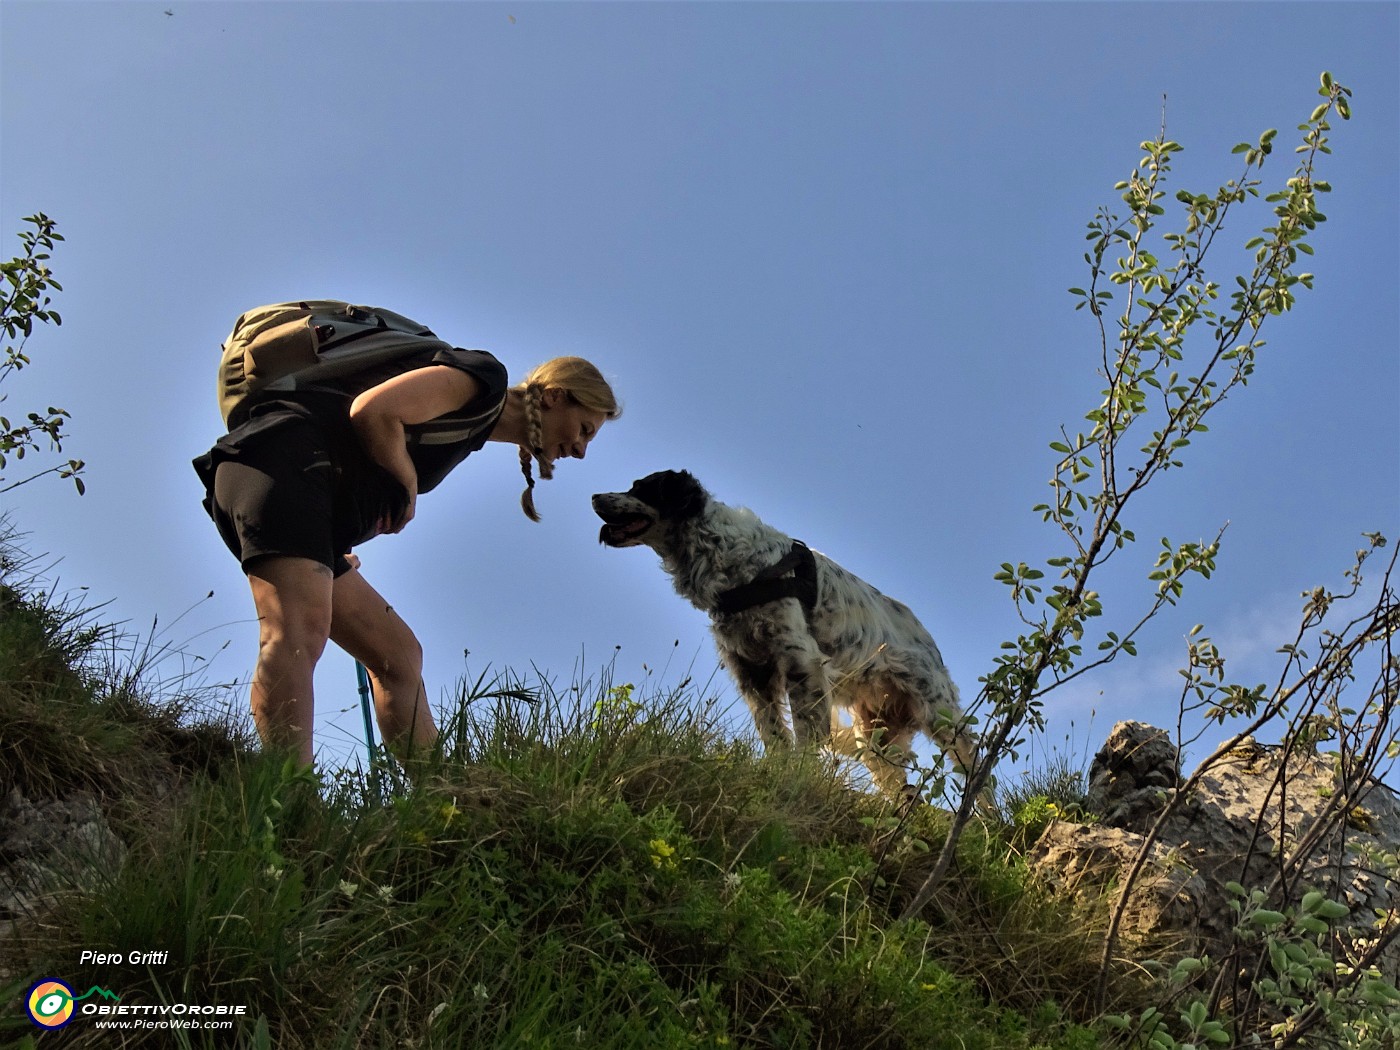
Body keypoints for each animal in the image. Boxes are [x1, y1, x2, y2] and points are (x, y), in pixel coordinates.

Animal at [590, 470, 974, 795]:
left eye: (641, 487)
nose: (593, 495)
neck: (725, 555)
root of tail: (929, 642)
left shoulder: (801, 660)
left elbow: (805, 735)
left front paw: (799, 776)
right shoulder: (752, 670)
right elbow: (773, 734)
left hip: (941, 719)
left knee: (977, 781)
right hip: (875, 736)